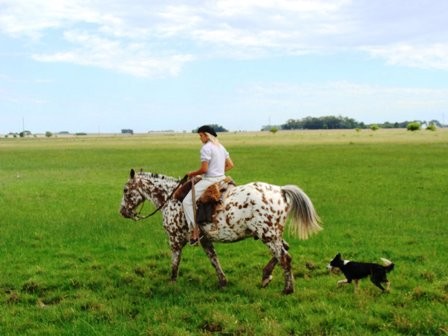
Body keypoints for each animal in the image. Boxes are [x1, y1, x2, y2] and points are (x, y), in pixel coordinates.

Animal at [119, 169, 322, 292]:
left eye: (126, 190)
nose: (122, 211)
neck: (170, 198)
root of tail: (280, 191)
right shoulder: (205, 239)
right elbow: (214, 259)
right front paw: (223, 282)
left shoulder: (174, 240)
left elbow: (175, 264)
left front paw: (172, 284)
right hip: (272, 235)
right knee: (284, 250)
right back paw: (266, 276)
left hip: (268, 236)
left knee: (284, 257)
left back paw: (287, 289)